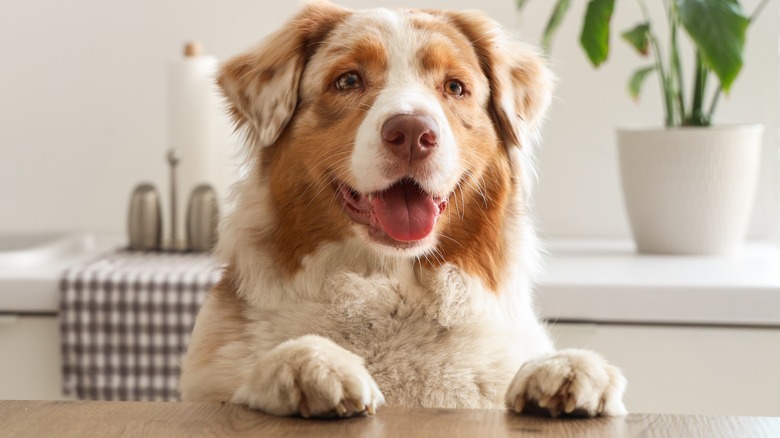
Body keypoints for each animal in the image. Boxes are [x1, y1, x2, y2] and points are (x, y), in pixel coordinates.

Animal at [178, 0, 628, 418]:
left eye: (455, 87)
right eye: (348, 80)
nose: (413, 133)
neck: (390, 286)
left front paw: (566, 369)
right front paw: (312, 362)